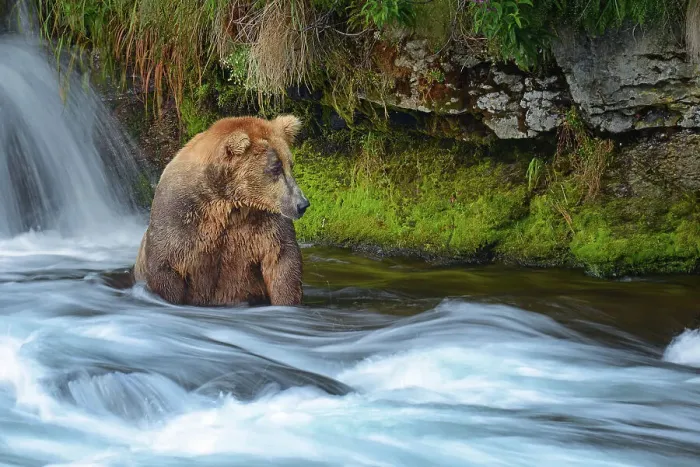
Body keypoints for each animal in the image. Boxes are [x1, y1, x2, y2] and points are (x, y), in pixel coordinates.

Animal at [133, 114, 310, 307]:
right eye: (275, 168)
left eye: (290, 165)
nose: (302, 204)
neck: (228, 203)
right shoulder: (180, 218)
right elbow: (165, 268)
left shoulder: (264, 223)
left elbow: (282, 260)